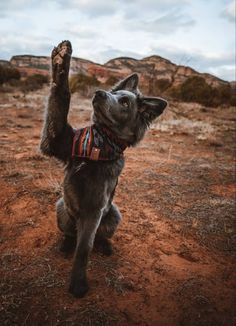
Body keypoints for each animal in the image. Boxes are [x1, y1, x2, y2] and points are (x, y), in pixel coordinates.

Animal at [39, 40, 167, 298]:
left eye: (125, 103)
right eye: (114, 93)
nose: (98, 93)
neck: (99, 143)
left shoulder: (94, 210)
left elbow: (84, 248)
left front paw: (78, 283)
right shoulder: (56, 139)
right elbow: (61, 96)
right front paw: (61, 60)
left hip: (114, 214)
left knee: (96, 239)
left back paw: (105, 245)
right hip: (61, 207)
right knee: (70, 234)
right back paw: (65, 244)